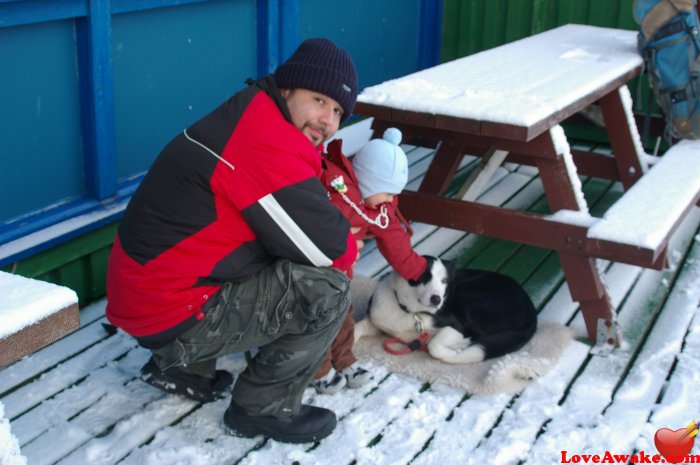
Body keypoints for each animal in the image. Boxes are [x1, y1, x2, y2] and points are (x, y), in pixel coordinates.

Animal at [358, 258, 540, 362]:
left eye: (445, 281)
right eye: (423, 277)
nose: (437, 299)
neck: (410, 311)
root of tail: (532, 311)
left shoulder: (456, 326)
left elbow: (434, 346)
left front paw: (454, 352)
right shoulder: (377, 319)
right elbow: (357, 327)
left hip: (467, 294)